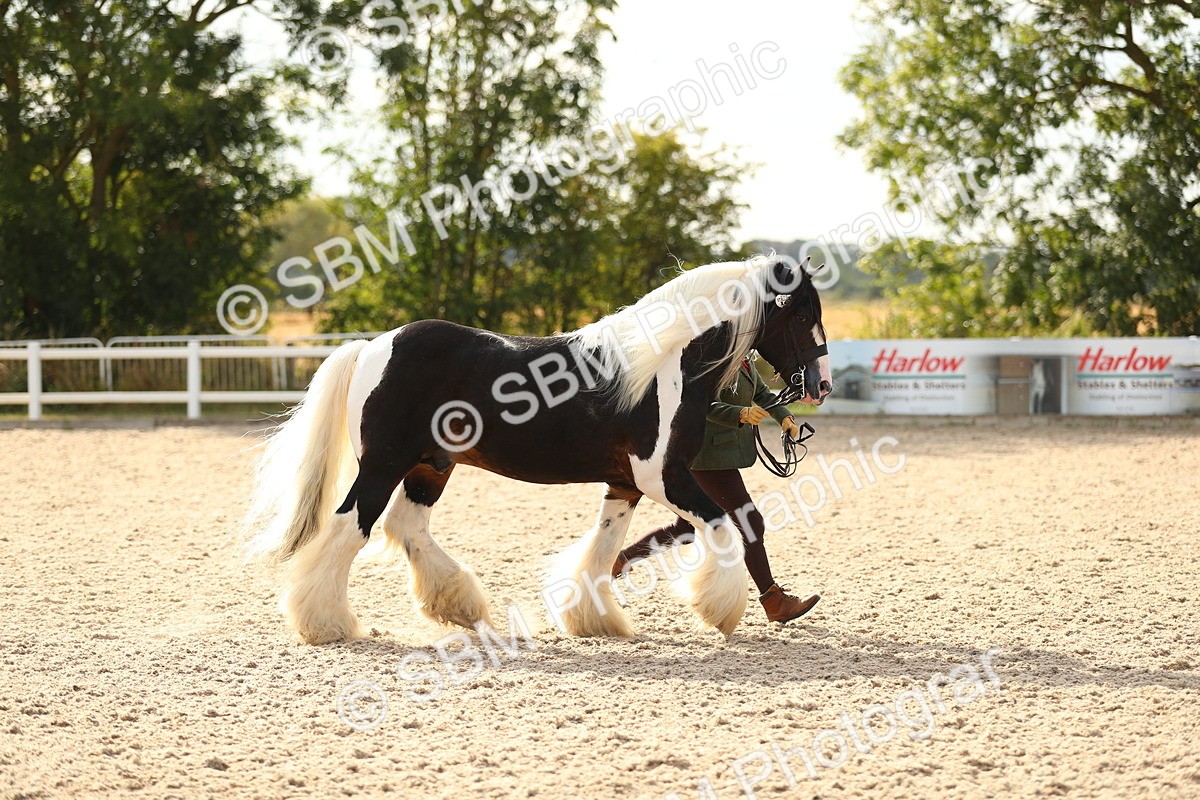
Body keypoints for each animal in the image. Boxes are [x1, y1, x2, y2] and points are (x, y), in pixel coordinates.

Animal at [244, 255, 832, 644]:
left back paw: (460, 606)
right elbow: (724, 527)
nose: (821, 384)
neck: (664, 365)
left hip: (430, 466)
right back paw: (327, 623)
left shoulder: (625, 484)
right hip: (384, 464)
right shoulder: (662, 476)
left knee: (405, 528)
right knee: (351, 527)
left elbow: (602, 547)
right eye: (803, 316)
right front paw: (720, 610)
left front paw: (594, 619)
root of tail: (375, 346)